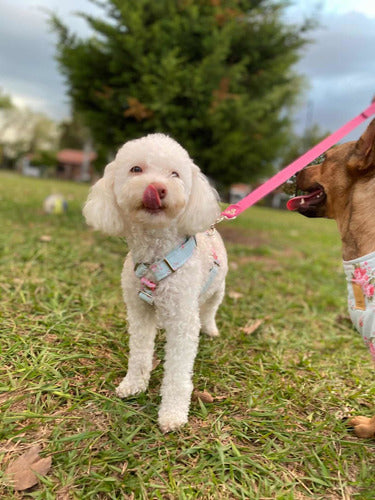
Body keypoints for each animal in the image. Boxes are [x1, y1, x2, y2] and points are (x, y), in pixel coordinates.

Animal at [83, 135, 228, 432]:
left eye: (175, 174)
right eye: (136, 169)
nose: (157, 188)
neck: (156, 257)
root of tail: (212, 227)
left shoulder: (183, 320)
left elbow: (178, 373)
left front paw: (172, 414)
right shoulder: (138, 312)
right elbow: (139, 353)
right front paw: (133, 385)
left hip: (216, 289)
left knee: (209, 309)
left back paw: (210, 328)